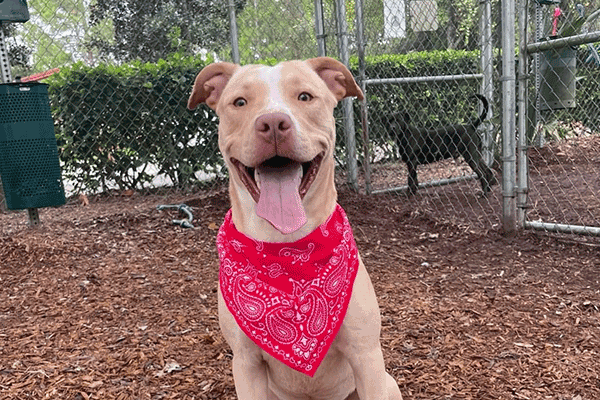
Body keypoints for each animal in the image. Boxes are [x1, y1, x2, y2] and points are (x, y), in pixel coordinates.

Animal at [190, 56, 400, 400]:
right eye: (240, 102)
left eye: (304, 97)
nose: (273, 123)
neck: (286, 250)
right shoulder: (246, 364)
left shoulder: (366, 355)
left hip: (387, 382)